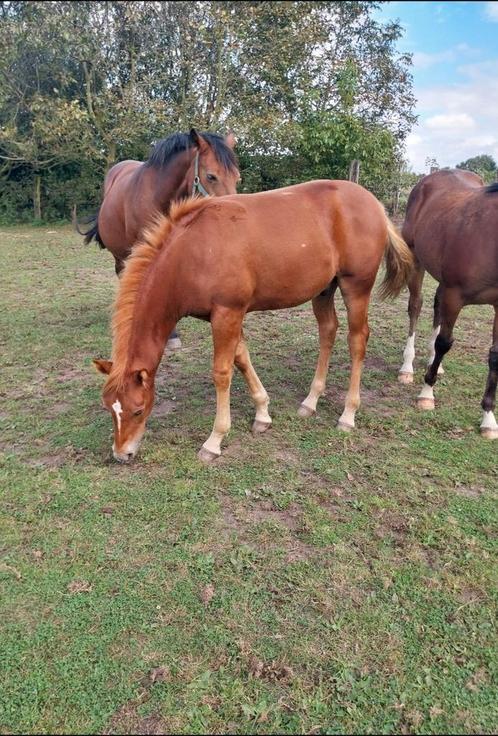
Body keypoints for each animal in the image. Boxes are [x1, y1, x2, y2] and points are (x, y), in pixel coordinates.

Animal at [93, 179, 412, 462]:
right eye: (109, 408)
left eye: (138, 409)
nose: (122, 454)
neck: (192, 252)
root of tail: (375, 205)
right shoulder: (225, 316)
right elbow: (242, 358)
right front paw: (262, 414)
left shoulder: (227, 312)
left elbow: (222, 372)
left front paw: (215, 440)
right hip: (324, 289)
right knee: (328, 331)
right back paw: (310, 401)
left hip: (356, 286)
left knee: (357, 339)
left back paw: (348, 414)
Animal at [398, 170, 498, 440]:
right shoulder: (455, 295)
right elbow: (445, 342)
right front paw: (426, 394)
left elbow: (495, 356)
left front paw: (488, 418)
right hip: (416, 258)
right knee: (416, 306)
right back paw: (407, 367)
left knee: (436, 306)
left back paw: (434, 363)